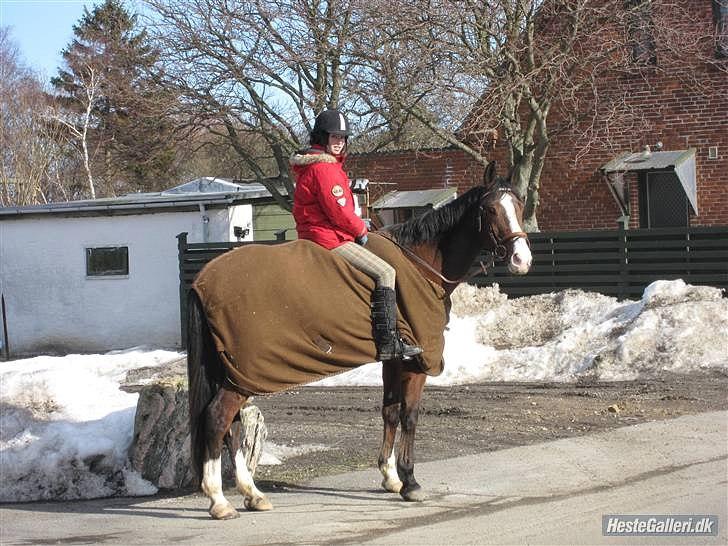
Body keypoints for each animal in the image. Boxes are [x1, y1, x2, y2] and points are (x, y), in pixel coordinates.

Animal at [185, 159, 532, 516]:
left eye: (520, 205)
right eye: (490, 209)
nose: (522, 260)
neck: (419, 263)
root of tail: (204, 279)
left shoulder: (395, 359)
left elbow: (390, 411)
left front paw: (390, 476)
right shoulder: (417, 363)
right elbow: (409, 415)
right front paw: (409, 481)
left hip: (231, 372)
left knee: (231, 426)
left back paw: (251, 493)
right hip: (243, 373)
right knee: (217, 419)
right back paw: (219, 499)